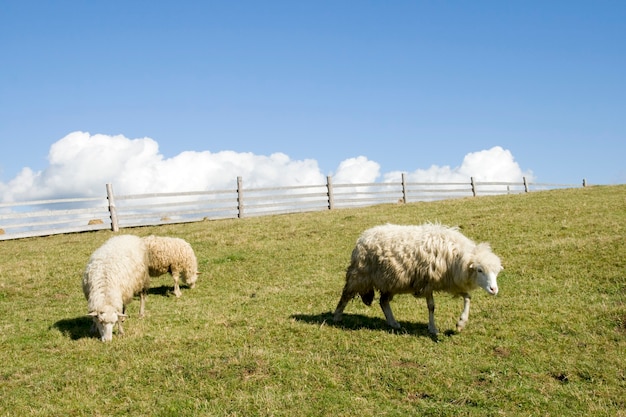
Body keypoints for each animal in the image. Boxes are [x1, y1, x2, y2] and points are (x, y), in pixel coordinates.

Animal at [332, 223, 502, 334]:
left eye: (496, 273)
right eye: (480, 270)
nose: (494, 289)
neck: (457, 258)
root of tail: (363, 236)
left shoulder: (450, 283)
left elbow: (467, 297)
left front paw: (461, 323)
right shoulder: (428, 282)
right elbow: (431, 307)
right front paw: (433, 329)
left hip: (390, 281)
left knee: (383, 301)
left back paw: (393, 323)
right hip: (359, 275)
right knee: (346, 295)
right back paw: (336, 316)